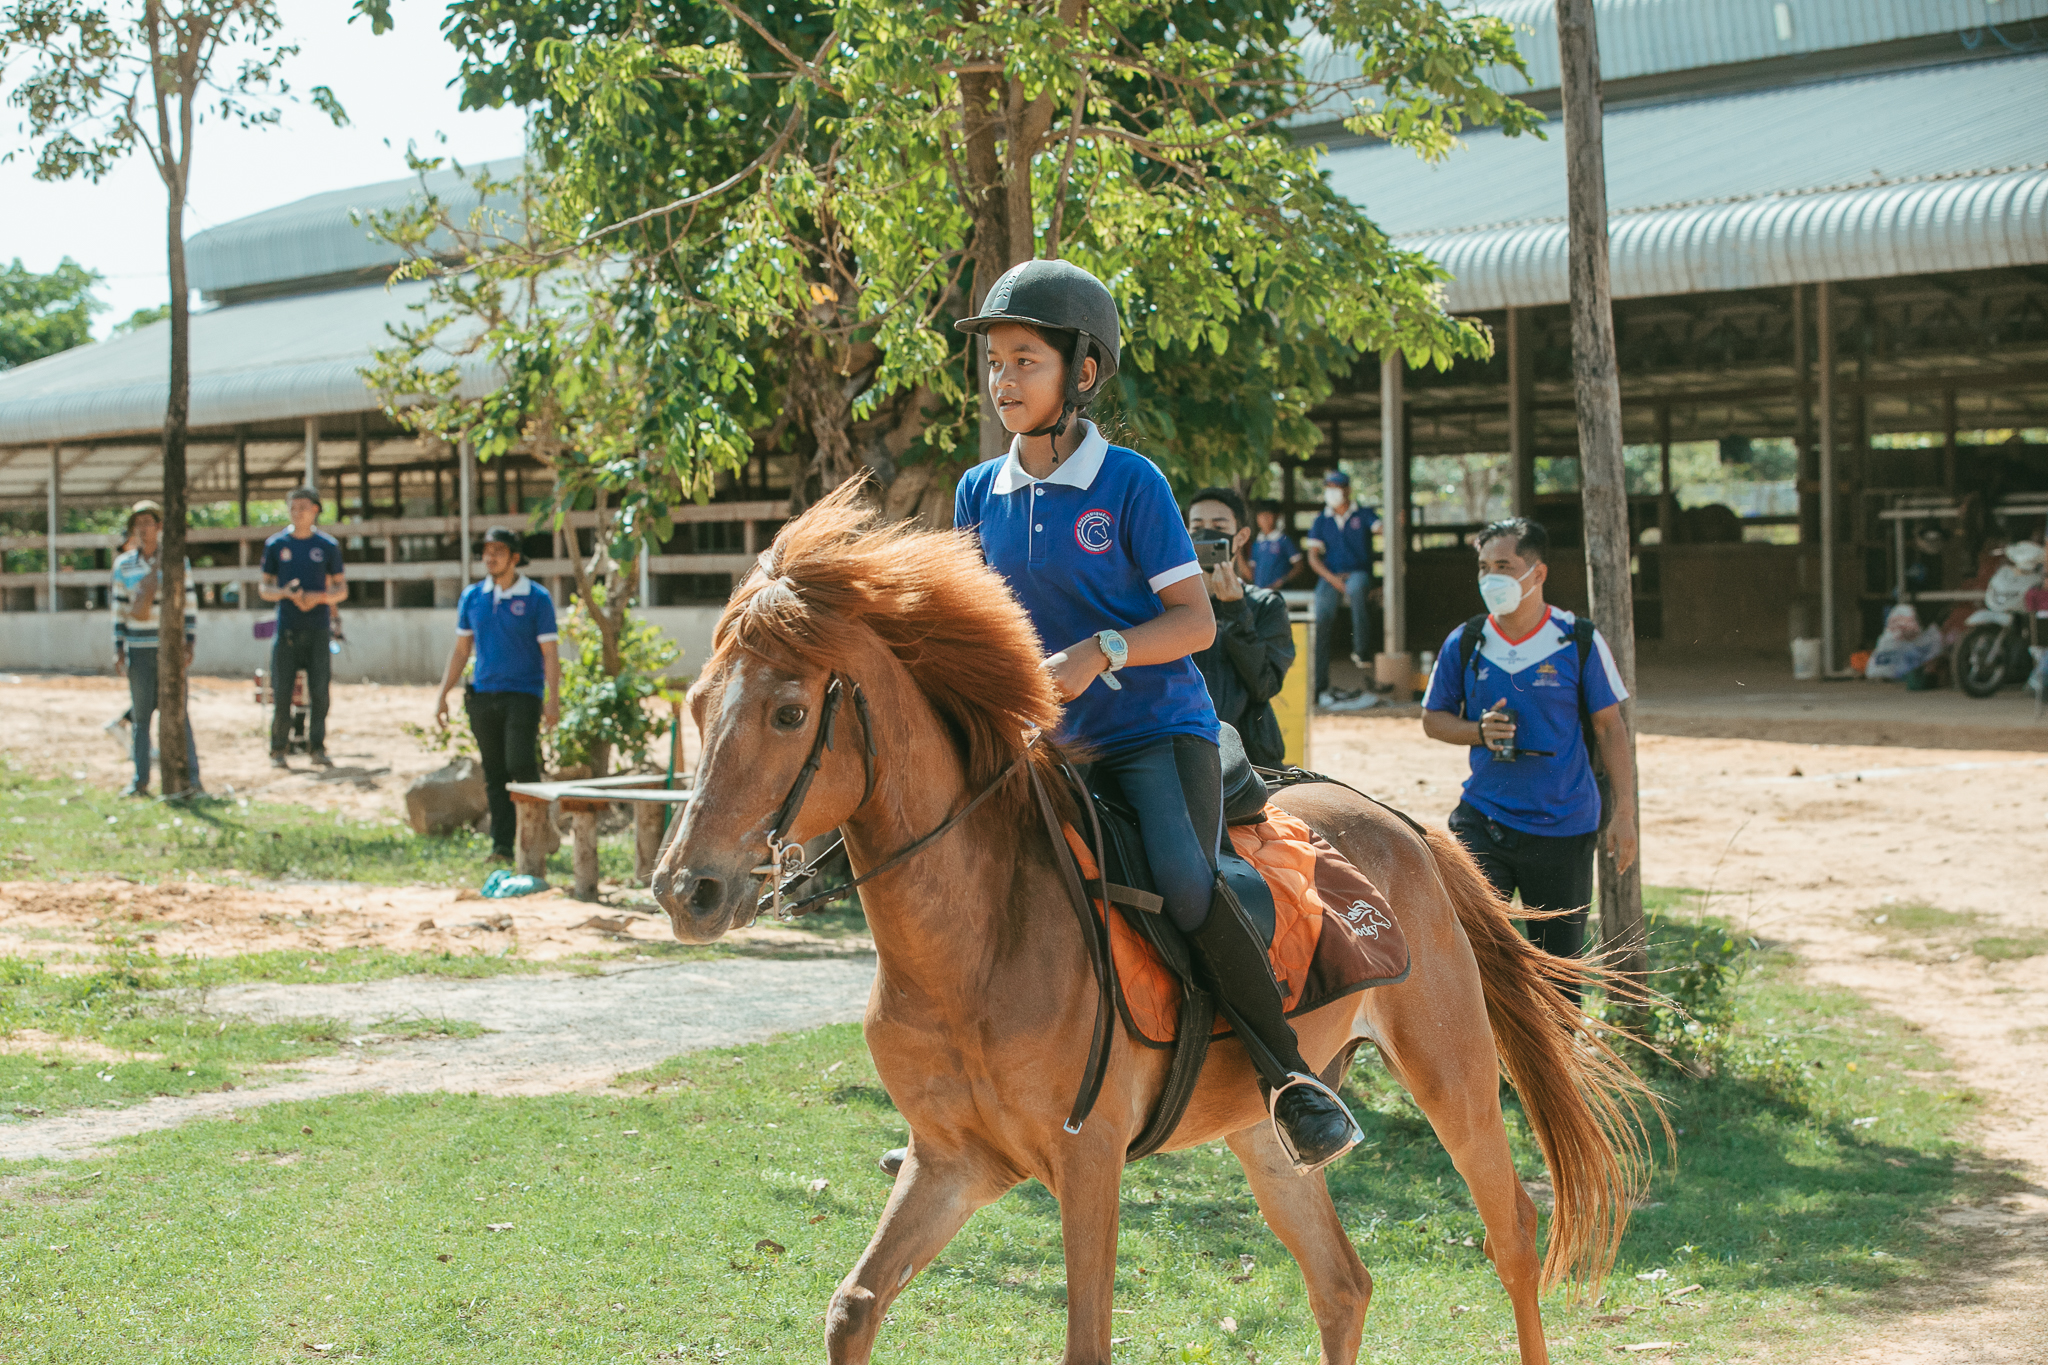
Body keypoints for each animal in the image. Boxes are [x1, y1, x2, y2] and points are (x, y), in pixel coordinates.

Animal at [655, 489, 1662, 1365]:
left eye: (790, 712)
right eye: (698, 706)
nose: (683, 889)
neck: (973, 939)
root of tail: (1399, 823)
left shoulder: (1087, 1158)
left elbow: (1086, 1342)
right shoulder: (952, 1162)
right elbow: (853, 1308)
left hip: (1452, 1069)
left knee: (1513, 1235)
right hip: (1268, 1128)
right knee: (1342, 1283)